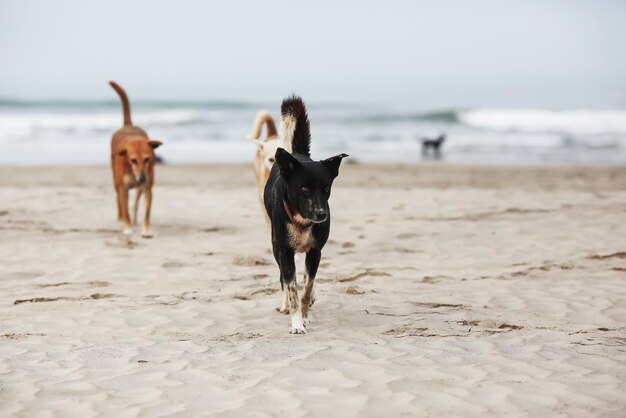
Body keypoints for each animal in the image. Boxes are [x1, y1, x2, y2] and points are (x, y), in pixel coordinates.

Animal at [108, 81, 161, 238]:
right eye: (133, 160)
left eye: (147, 159)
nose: (142, 178)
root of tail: (128, 125)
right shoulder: (122, 188)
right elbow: (125, 209)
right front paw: (127, 228)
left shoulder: (148, 189)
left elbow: (147, 212)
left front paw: (146, 230)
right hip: (116, 182)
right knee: (120, 203)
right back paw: (121, 219)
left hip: (140, 189)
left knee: (135, 204)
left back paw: (135, 219)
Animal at [264, 96, 348, 334]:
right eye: (303, 189)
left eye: (326, 189)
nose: (321, 214)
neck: (302, 222)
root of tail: (298, 155)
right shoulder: (285, 252)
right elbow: (291, 287)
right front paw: (296, 323)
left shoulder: (315, 252)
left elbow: (307, 287)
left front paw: (306, 315)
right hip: (276, 246)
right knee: (283, 279)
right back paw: (284, 305)